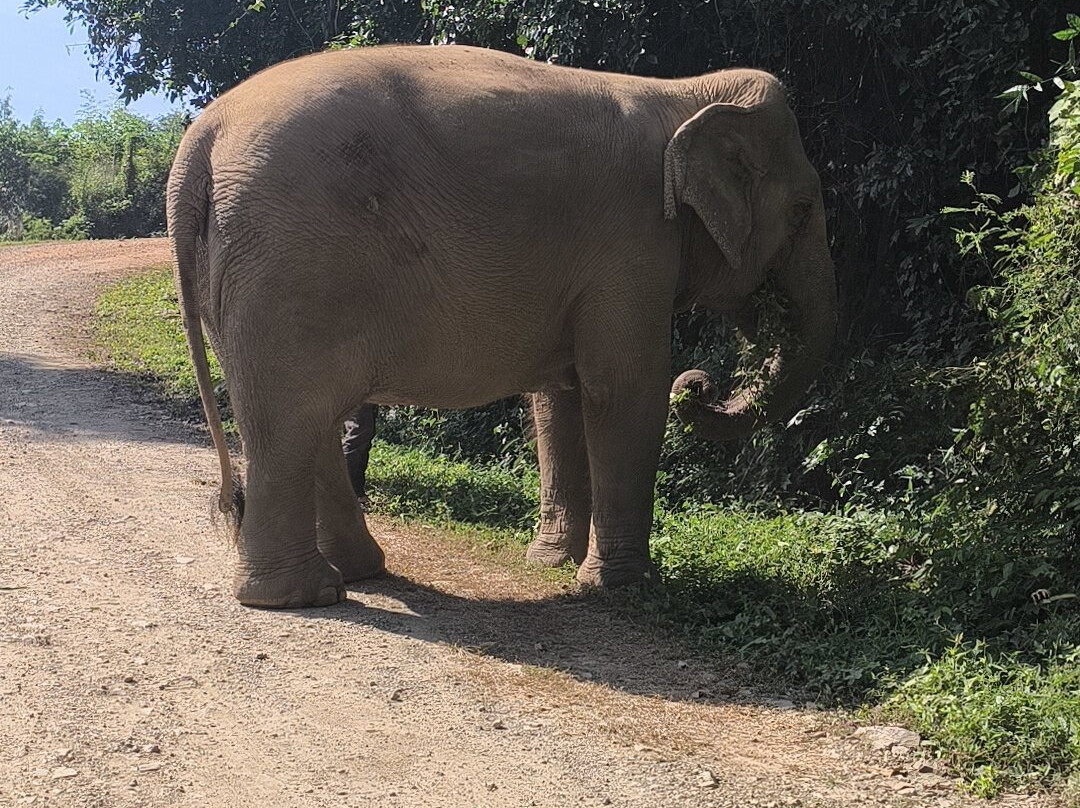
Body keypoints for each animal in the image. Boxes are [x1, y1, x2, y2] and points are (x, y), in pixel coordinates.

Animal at [167, 44, 837, 609]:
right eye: (802, 210)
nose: (701, 384)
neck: (684, 94)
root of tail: (201, 138)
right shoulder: (634, 241)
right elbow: (626, 387)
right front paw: (624, 587)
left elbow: (562, 395)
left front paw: (550, 564)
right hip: (285, 273)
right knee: (293, 417)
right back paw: (304, 597)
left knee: (307, 421)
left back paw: (357, 575)